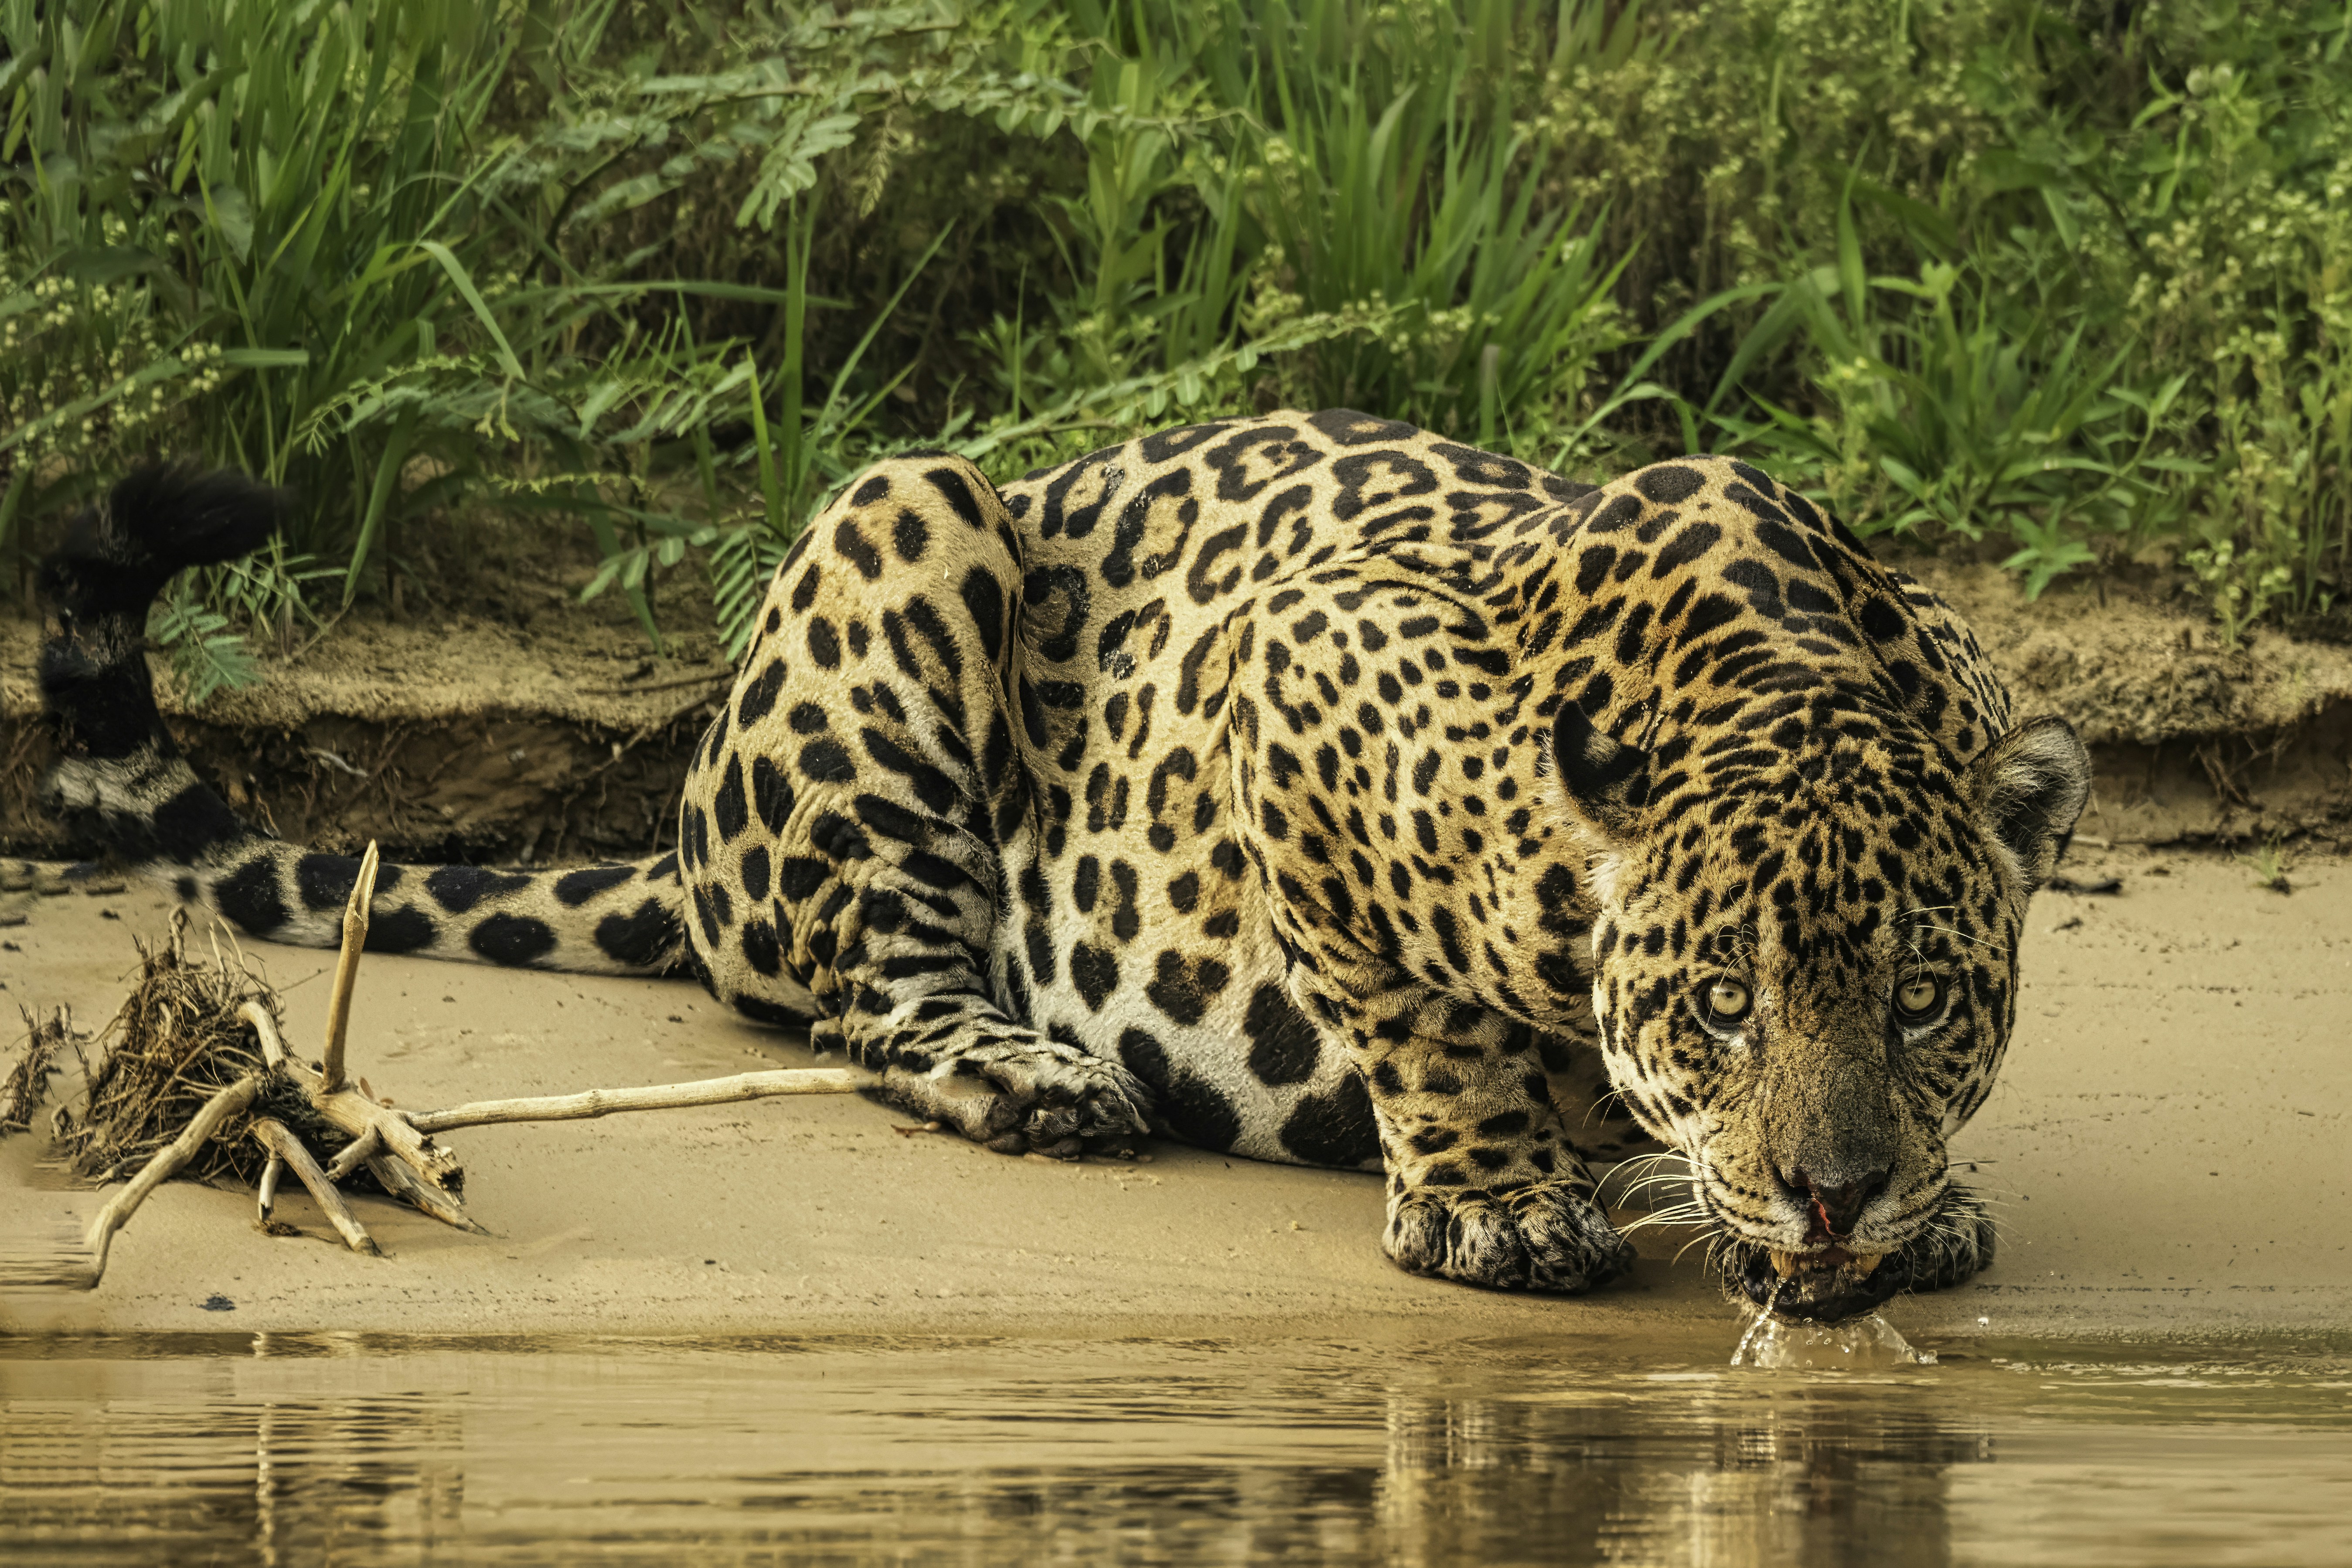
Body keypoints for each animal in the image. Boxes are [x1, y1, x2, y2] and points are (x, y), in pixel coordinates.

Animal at [37, 411, 2089, 1321]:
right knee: (871, 996)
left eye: (1926, 999)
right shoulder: (1302, 667)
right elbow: (1418, 1017)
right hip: (904, 524)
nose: (1832, 1193)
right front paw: (1498, 1202)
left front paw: (1918, 1203)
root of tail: (688, 818)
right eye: (1720, 1003)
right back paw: (1041, 1075)